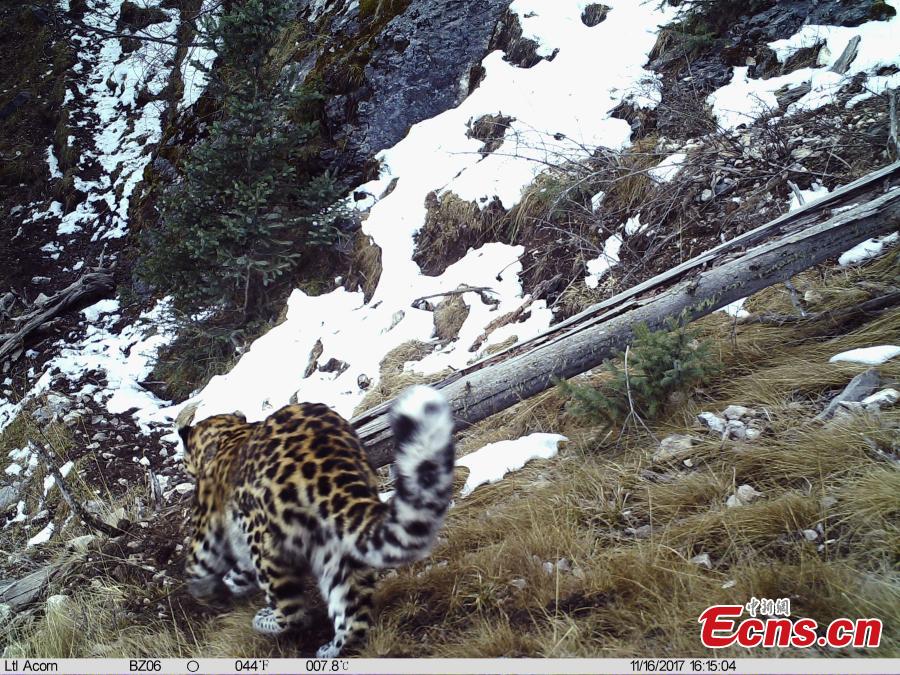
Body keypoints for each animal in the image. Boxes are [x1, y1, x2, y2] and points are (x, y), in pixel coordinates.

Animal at [175, 385, 455, 657]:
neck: (227, 434)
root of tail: (329, 469)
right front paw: (232, 583)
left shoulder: (208, 526)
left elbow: (199, 564)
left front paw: (208, 591)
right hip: (338, 548)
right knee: (353, 617)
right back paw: (331, 650)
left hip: (266, 545)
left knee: (292, 614)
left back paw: (264, 619)